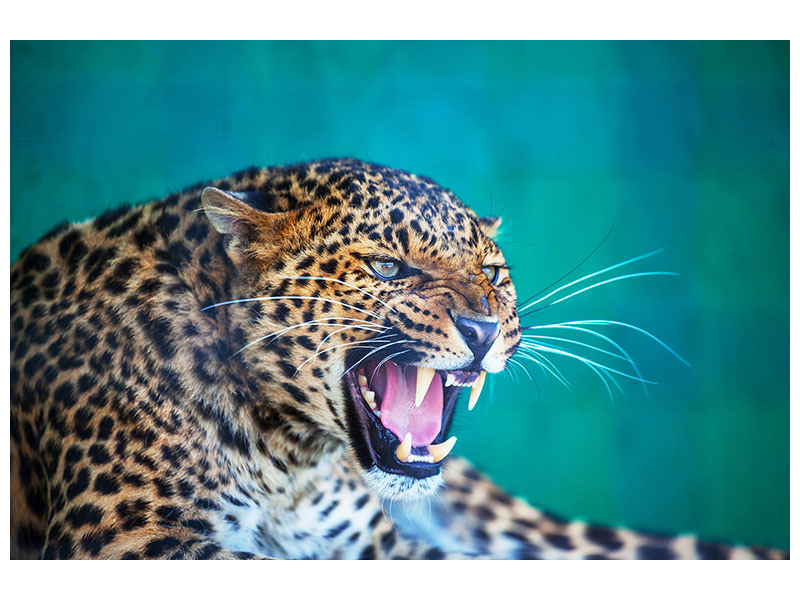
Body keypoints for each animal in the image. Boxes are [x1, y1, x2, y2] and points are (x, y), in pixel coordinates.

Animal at [10, 158, 787, 559]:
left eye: (492, 273)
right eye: (386, 268)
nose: (483, 327)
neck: (289, 463)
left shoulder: (384, 548)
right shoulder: (128, 539)